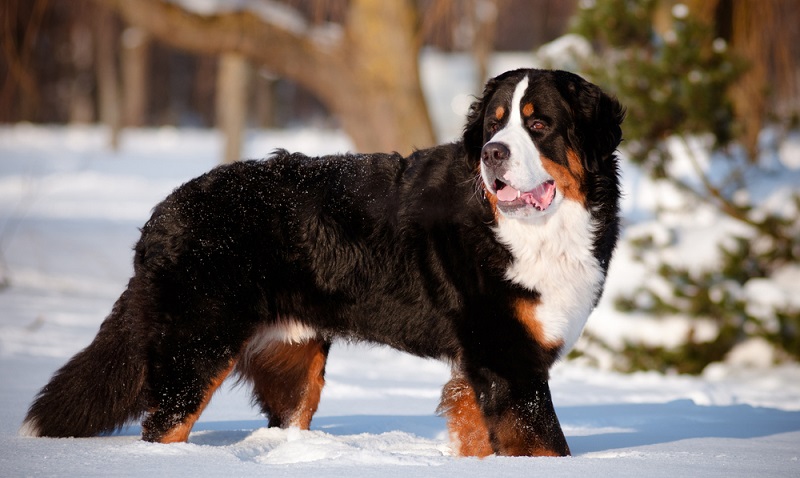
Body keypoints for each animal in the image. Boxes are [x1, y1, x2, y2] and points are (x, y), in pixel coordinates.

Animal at [20, 69, 624, 458]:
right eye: (494, 126)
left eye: (539, 124)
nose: (492, 154)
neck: (538, 233)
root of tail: (164, 209)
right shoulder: (509, 359)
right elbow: (548, 446)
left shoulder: (487, 364)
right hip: (196, 349)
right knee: (163, 428)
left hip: (292, 363)